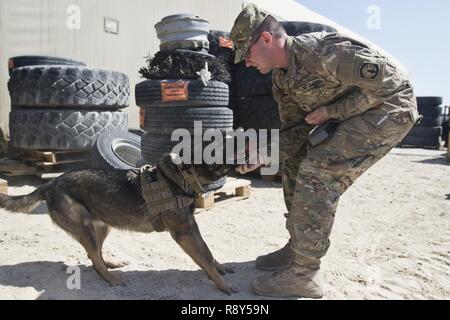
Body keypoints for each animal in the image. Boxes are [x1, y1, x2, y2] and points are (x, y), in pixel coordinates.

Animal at [0, 154, 241, 294]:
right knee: (94, 258)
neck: (181, 176)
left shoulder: (191, 228)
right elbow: (204, 259)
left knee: (95, 254)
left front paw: (220, 268)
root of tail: (49, 185)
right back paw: (111, 278)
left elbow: (208, 252)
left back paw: (111, 264)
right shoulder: (184, 233)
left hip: (102, 225)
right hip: (85, 228)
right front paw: (221, 284)